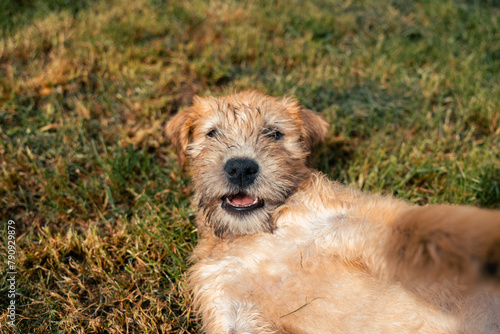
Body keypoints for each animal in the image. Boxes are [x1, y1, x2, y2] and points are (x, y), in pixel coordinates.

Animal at [165, 91, 500, 334]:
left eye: (273, 133)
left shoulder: (349, 217)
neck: (256, 235)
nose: (241, 167)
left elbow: (418, 226)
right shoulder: (228, 306)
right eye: (212, 133)